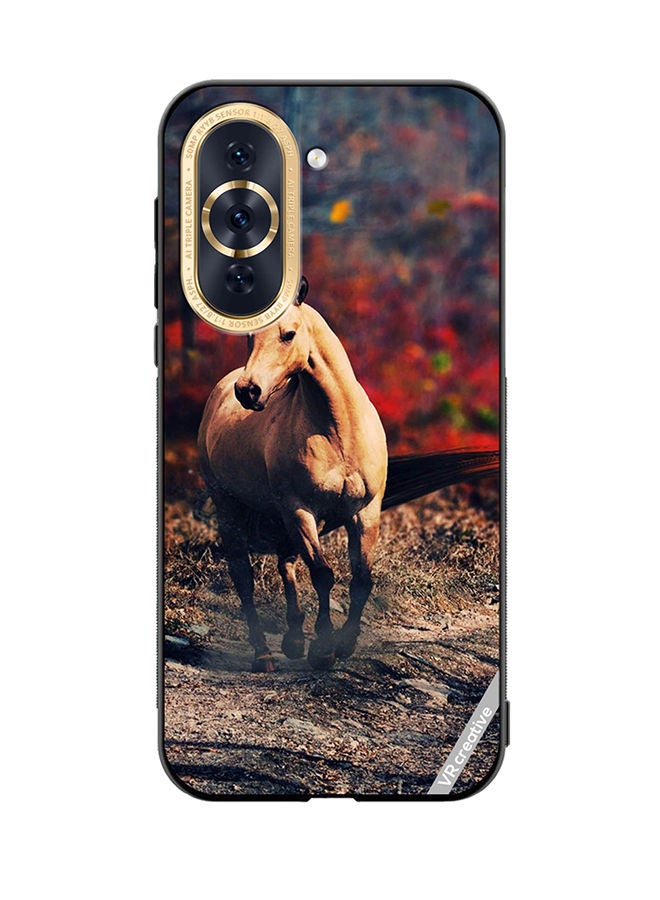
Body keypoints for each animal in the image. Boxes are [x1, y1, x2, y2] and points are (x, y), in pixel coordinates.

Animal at [198, 286, 388, 672]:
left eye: (288, 334)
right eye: (250, 338)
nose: (248, 391)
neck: (338, 429)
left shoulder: (366, 511)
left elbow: (361, 579)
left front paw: (344, 644)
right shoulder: (301, 510)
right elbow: (322, 574)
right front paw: (324, 650)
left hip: (281, 514)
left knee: (285, 561)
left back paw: (294, 640)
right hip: (231, 509)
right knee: (244, 577)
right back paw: (264, 654)